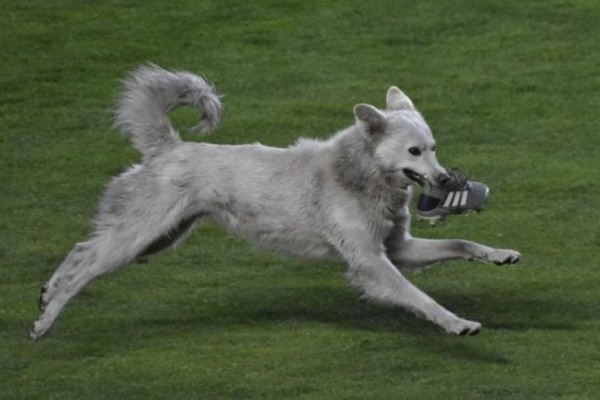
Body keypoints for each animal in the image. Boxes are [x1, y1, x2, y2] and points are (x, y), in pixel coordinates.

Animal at [31, 64, 520, 340]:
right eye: (414, 152)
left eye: (433, 148)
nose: (445, 178)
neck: (358, 174)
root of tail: (168, 147)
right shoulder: (372, 263)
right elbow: (421, 298)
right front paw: (457, 323)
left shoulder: (397, 249)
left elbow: (461, 244)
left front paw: (500, 254)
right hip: (138, 237)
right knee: (84, 263)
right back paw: (45, 320)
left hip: (158, 239)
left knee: (82, 250)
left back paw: (45, 294)